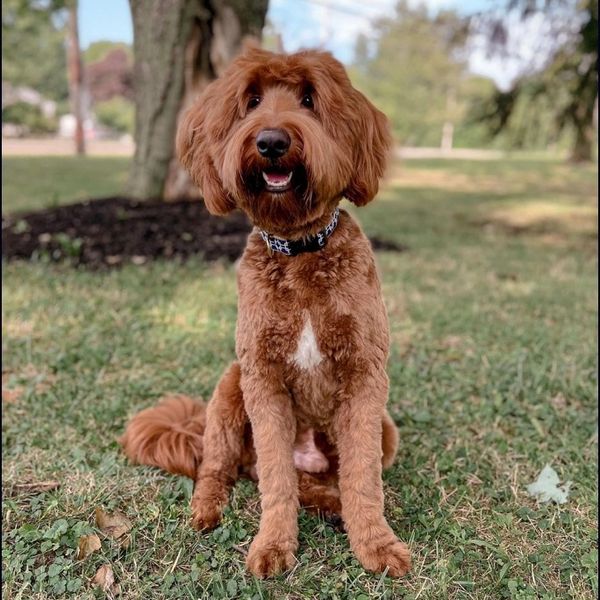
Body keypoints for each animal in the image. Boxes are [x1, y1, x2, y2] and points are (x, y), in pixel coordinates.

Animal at [122, 44, 412, 580]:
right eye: (251, 101)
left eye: (309, 99)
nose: (272, 141)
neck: (299, 253)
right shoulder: (263, 378)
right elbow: (277, 482)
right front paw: (273, 545)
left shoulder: (365, 376)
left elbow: (362, 477)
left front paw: (376, 544)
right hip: (229, 389)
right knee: (222, 468)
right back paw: (207, 508)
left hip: (385, 430)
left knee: (317, 481)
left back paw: (333, 505)